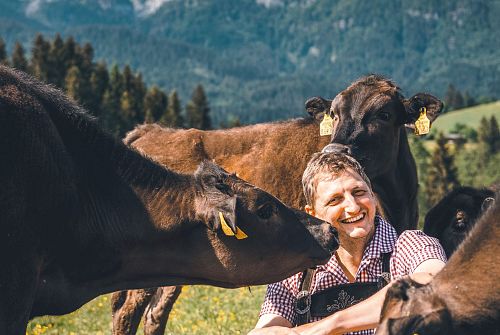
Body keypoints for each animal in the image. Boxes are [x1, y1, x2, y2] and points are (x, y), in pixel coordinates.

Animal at [113, 74, 442, 335]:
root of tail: (151, 130)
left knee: (155, 312)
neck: (396, 202)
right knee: (127, 309)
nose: (334, 150)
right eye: (334, 114)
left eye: (384, 114)